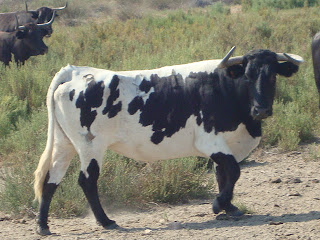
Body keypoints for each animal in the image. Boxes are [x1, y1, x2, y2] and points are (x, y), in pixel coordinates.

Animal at [33, 47, 304, 234]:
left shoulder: (225, 146)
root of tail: (76, 71)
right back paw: (106, 221)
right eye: (247, 76)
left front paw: (229, 208)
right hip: (91, 145)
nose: (261, 110)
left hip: (65, 145)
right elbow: (234, 171)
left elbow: (223, 174)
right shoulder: (211, 142)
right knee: (87, 180)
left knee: (51, 179)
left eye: (272, 76)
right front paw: (219, 204)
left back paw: (43, 225)